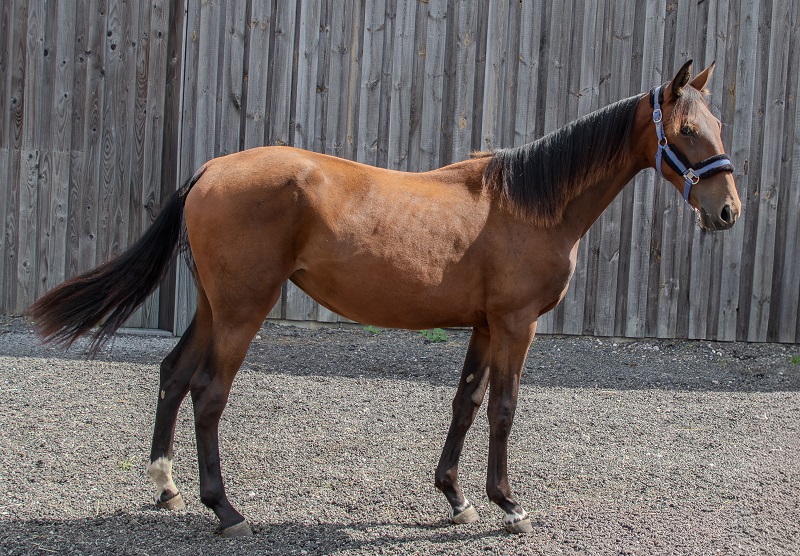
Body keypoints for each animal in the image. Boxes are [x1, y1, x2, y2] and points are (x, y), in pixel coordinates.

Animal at [29, 60, 740, 537]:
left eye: (717, 123)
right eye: (684, 129)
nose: (728, 209)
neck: (527, 203)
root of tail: (209, 170)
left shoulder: (484, 325)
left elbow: (466, 403)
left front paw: (456, 497)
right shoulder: (515, 325)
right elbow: (504, 409)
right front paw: (508, 504)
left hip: (211, 305)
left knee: (173, 375)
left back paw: (167, 489)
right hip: (240, 311)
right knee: (208, 392)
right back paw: (225, 510)